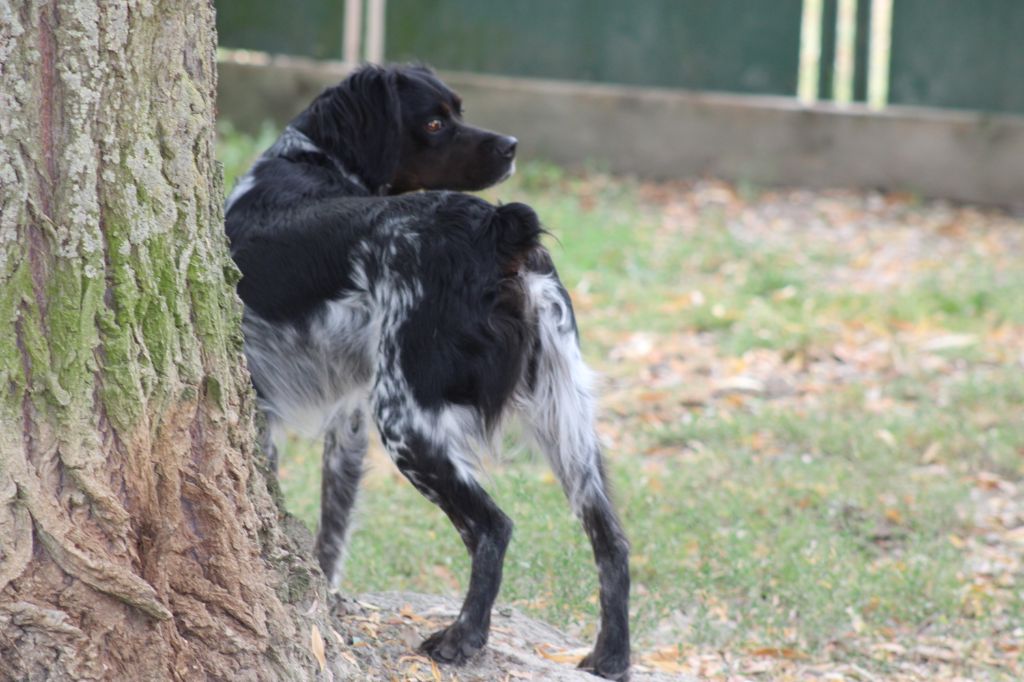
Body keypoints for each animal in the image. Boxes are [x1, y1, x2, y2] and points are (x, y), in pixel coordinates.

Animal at [222, 62, 630, 675]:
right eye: (437, 121)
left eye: (455, 112)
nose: (512, 146)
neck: (311, 160)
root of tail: (496, 227)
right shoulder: (348, 422)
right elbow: (330, 536)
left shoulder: (267, 410)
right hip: (567, 423)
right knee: (611, 541)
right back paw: (611, 655)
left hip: (409, 422)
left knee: (493, 527)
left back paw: (463, 638)